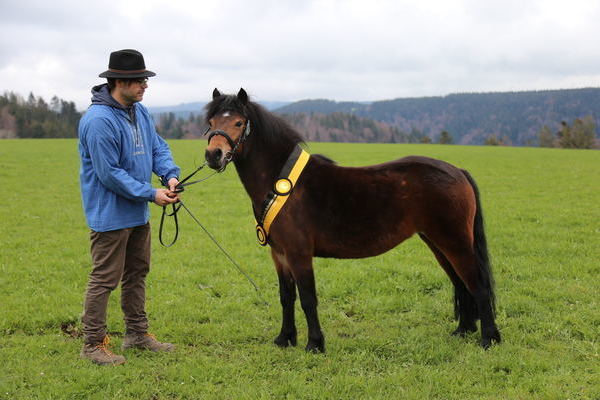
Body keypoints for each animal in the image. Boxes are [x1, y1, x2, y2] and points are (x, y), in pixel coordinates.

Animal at [204, 87, 500, 350]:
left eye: (239, 122)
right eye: (211, 122)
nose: (213, 155)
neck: (282, 181)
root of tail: (458, 171)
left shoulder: (299, 254)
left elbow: (308, 298)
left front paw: (314, 344)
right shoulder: (280, 254)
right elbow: (286, 297)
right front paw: (284, 339)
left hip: (455, 242)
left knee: (477, 285)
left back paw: (489, 339)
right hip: (438, 243)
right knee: (460, 283)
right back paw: (463, 330)